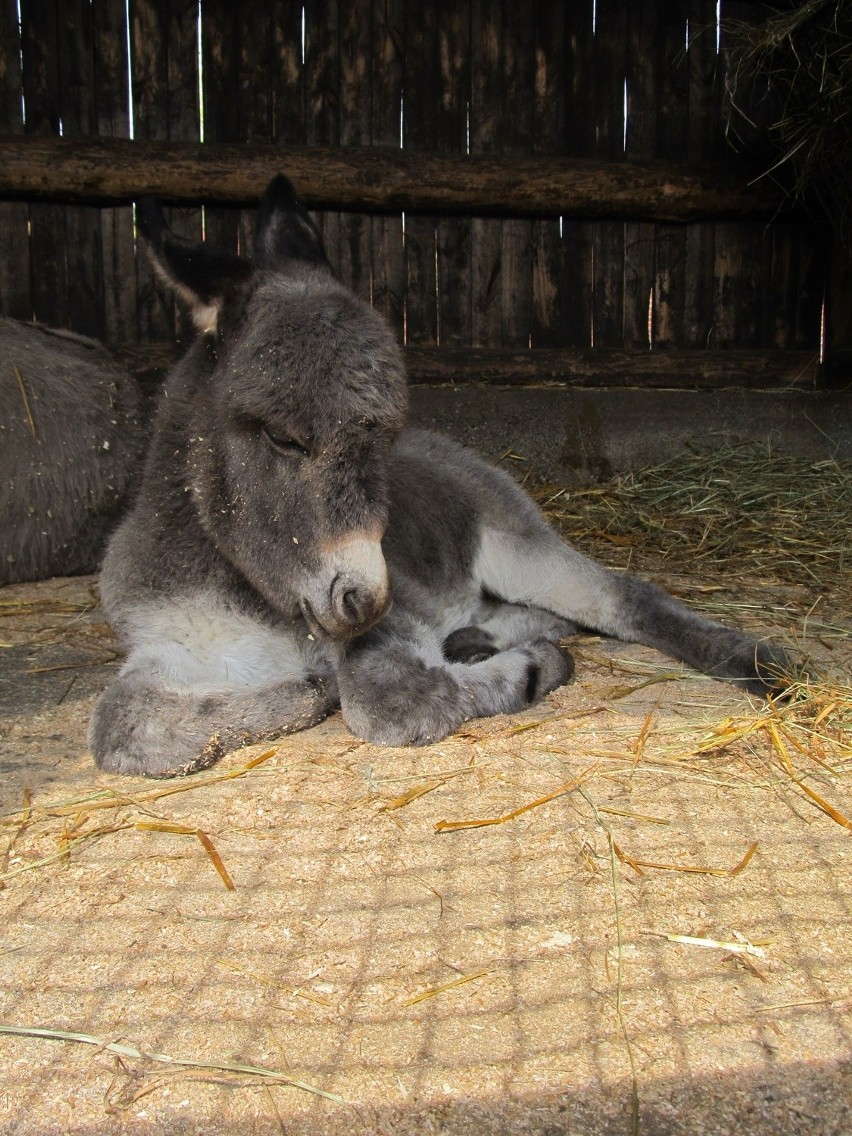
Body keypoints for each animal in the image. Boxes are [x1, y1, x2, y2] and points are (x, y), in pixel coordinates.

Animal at [90, 177, 790, 777]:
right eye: (283, 437)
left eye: (384, 437)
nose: (367, 600)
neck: (241, 590)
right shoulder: (173, 646)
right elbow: (122, 729)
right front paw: (305, 692)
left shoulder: (390, 629)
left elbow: (391, 701)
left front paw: (533, 671)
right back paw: (476, 637)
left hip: (514, 543)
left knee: (621, 598)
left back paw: (763, 666)